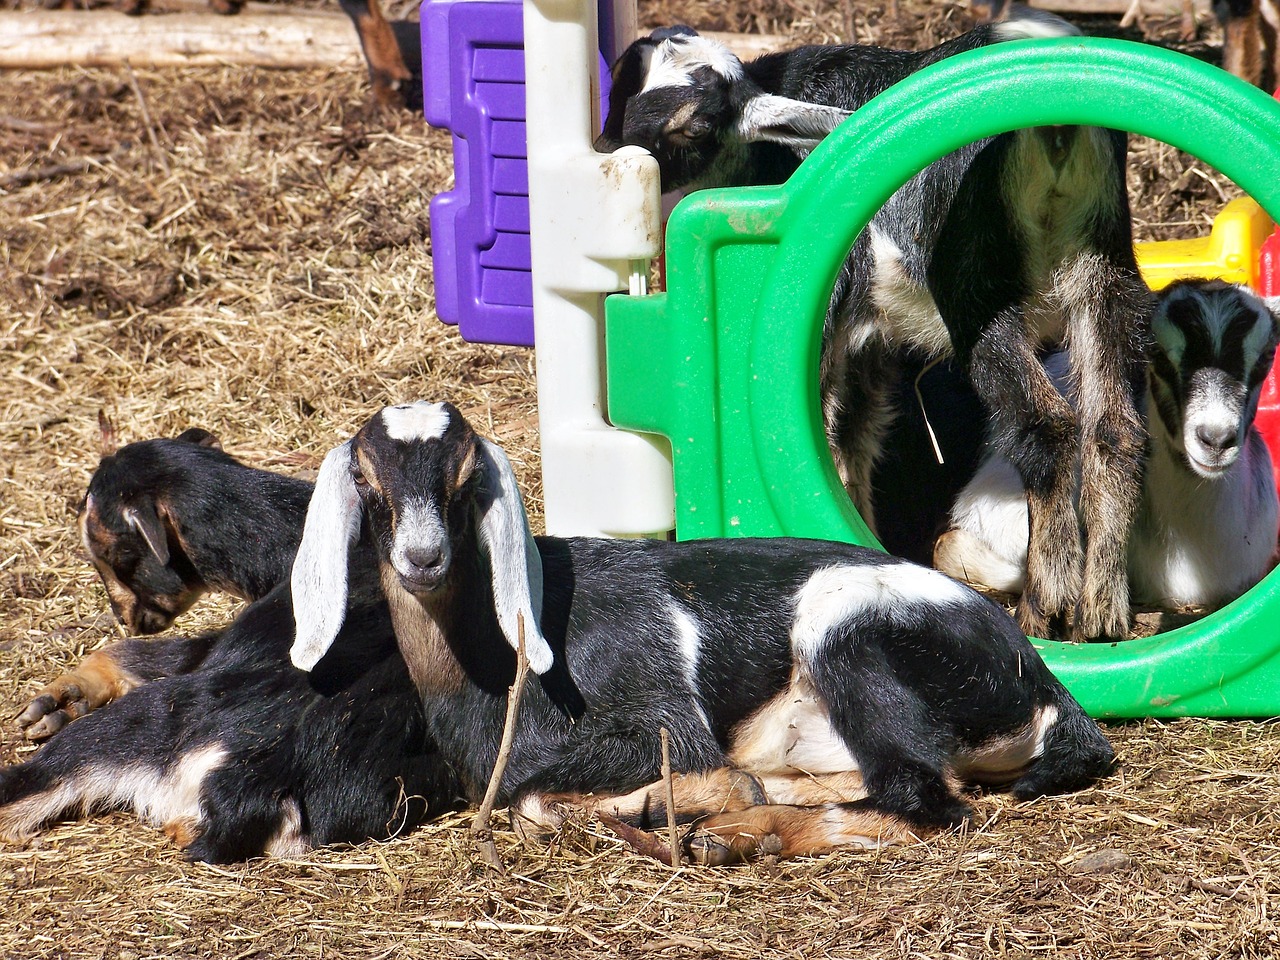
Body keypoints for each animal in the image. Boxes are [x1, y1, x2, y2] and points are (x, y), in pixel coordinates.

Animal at [0, 427, 460, 865]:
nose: (124, 618)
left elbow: (134, 654)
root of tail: (250, 781)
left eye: (113, 554)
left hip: (138, 723)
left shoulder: (211, 650)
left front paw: (60, 699)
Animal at [285, 401, 1116, 870]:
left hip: (848, 633)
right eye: (366, 480)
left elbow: (538, 798)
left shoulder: (657, 716)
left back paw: (734, 833)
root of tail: (1045, 687)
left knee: (924, 802)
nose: (422, 558)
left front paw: (666, 808)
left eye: (464, 481)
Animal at [596, 13, 1152, 647]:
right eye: (621, 88)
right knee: (1114, 430)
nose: (607, 152)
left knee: (1047, 425)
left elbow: (829, 431)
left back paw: (1045, 608)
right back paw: (1103, 613)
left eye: (692, 126)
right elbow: (854, 443)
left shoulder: (833, 321)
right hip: (1102, 267)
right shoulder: (869, 343)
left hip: (975, 290)